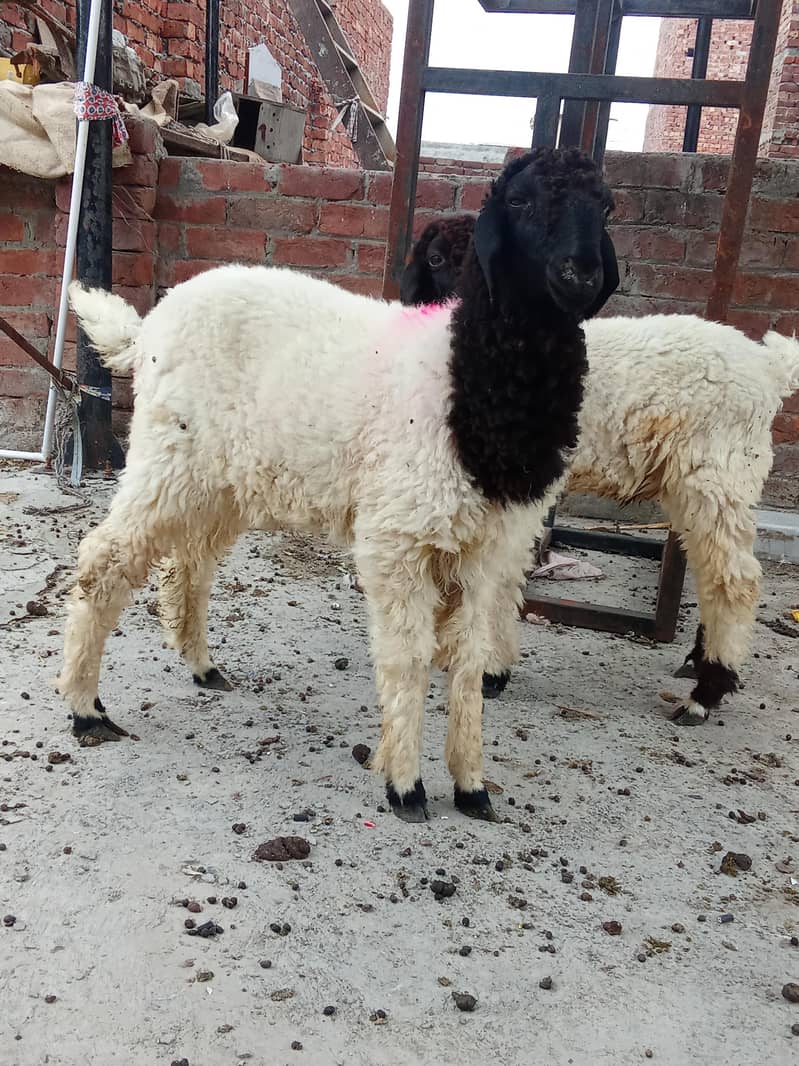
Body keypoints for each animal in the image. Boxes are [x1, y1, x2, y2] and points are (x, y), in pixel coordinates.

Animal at [56, 146, 618, 822]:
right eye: (520, 202)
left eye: (606, 208)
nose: (580, 273)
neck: (474, 384)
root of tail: (146, 330)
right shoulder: (399, 537)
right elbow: (406, 658)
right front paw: (406, 784)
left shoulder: (490, 550)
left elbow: (467, 664)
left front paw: (472, 785)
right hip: (167, 455)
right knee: (104, 559)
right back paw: (86, 709)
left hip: (220, 479)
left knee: (190, 562)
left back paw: (201, 667)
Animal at [401, 215, 799, 725]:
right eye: (433, 259)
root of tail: (768, 367)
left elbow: (498, 574)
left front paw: (489, 671)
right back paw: (696, 665)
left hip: (719, 470)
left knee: (736, 579)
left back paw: (704, 694)